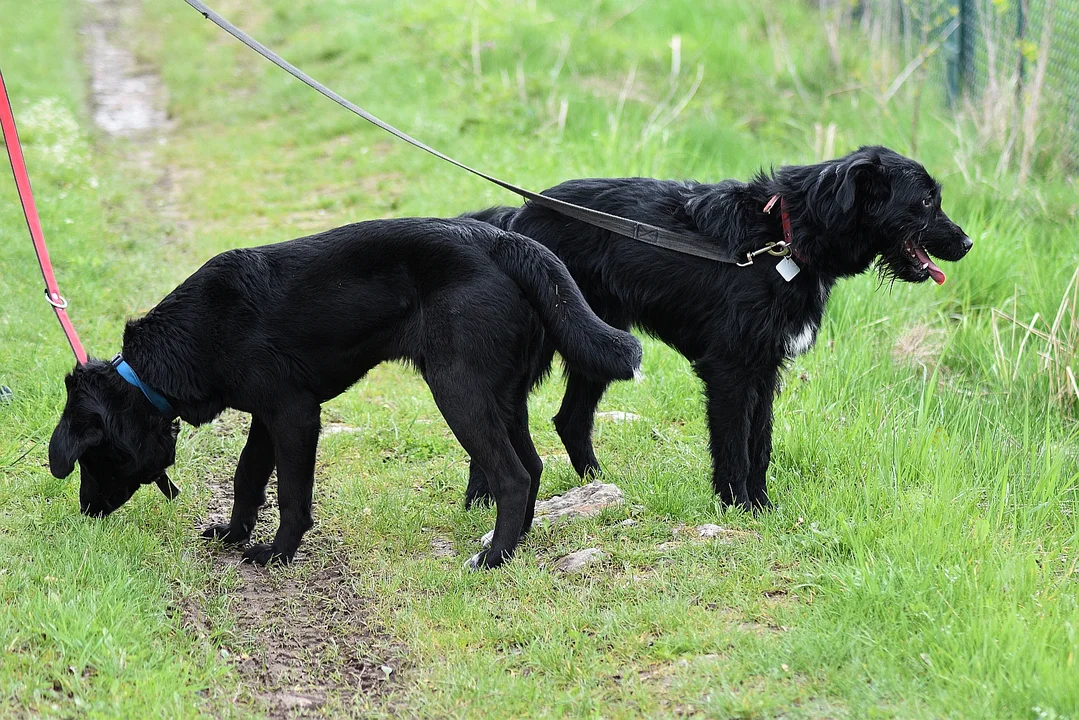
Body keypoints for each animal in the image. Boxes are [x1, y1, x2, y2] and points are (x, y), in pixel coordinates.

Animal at [48, 218, 638, 569]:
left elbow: (291, 495)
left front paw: (277, 554)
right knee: (533, 467)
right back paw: (515, 547)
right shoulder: (266, 417)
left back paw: (491, 558)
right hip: (503, 396)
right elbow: (246, 478)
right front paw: (235, 535)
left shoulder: (294, 414)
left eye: (90, 459)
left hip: (459, 391)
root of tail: (501, 241)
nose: (86, 511)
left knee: (512, 475)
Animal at [468, 143, 975, 509]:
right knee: (498, 417)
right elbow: (733, 444)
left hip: (599, 342)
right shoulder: (729, 370)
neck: (783, 238)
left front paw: (762, 506)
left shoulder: (765, 368)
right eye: (926, 200)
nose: (968, 243)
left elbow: (760, 443)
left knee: (570, 419)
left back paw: (598, 485)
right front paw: (737, 505)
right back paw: (481, 498)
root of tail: (515, 219)